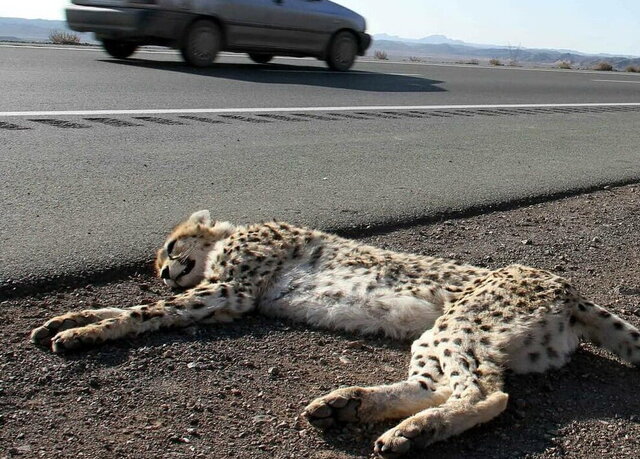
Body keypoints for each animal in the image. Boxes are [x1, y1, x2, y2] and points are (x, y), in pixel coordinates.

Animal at [30, 210, 640, 458]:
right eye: (159, 259)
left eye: (170, 247)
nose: (161, 271)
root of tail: (565, 285)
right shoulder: (221, 302)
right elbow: (146, 308)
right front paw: (67, 321)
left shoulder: (231, 293)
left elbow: (141, 311)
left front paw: (91, 329)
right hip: (454, 337)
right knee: (442, 386)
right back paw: (348, 405)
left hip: (460, 324)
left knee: (484, 394)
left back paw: (409, 434)